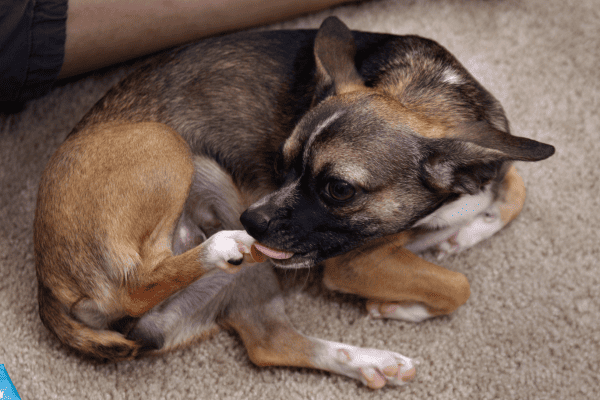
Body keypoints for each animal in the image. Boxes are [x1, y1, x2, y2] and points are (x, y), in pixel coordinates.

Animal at [35, 17, 556, 390]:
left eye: (339, 189)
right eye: (282, 161)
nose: (252, 217)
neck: (425, 94)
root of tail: (48, 285)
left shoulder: (492, 161)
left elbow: (513, 191)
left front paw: (457, 237)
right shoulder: (353, 264)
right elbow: (456, 285)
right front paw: (404, 305)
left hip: (246, 273)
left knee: (270, 343)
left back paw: (370, 362)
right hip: (168, 147)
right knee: (136, 283)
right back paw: (221, 246)